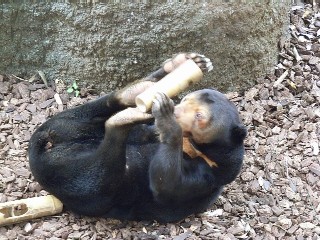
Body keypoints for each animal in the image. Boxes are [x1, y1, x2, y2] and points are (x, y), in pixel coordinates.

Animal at [28, 53, 248, 223]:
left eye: (199, 116)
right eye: (185, 99)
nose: (176, 110)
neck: (195, 148)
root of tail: (41, 151)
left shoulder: (211, 175)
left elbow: (167, 186)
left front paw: (165, 115)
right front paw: (195, 63)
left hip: (85, 185)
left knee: (104, 165)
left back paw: (127, 115)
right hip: (67, 123)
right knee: (100, 108)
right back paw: (143, 87)